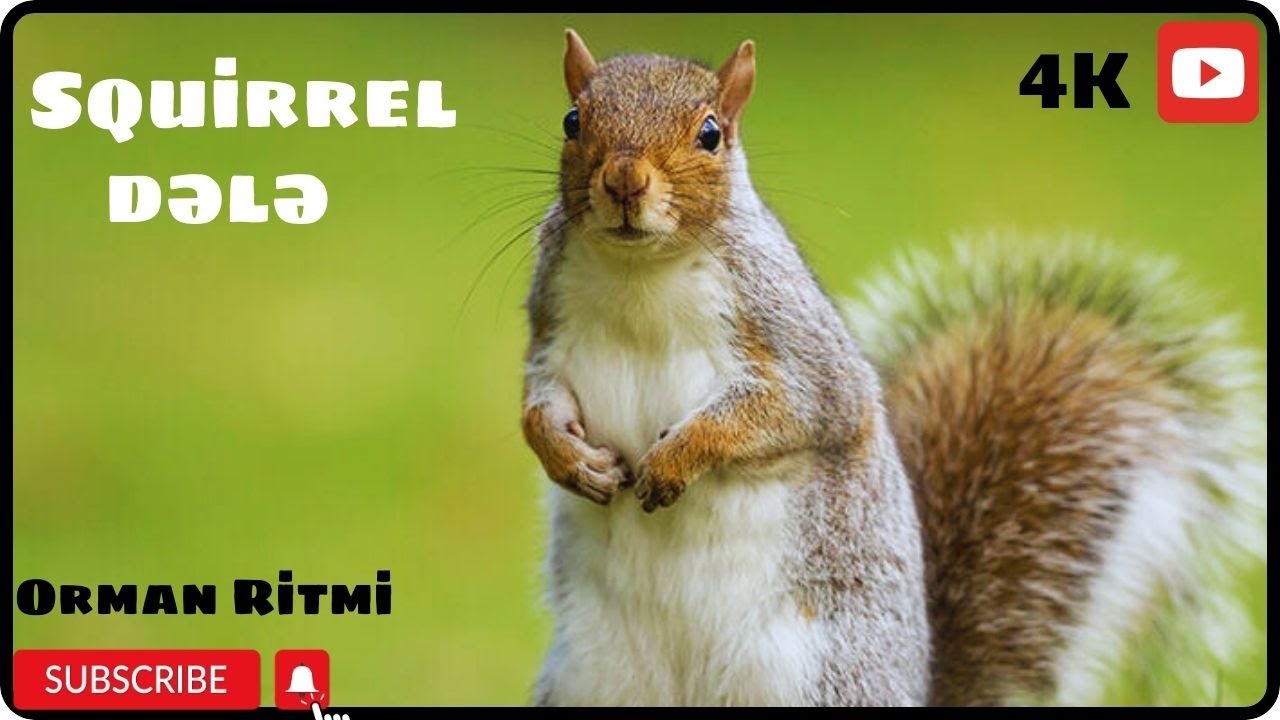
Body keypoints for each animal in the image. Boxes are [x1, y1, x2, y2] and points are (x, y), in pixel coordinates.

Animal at [519, 30, 1264, 707]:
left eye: (710, 134)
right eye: (572, 120)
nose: (624, 180)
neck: (640, 273)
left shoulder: (796, 346)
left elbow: (791, 412)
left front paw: (678, 460)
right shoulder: (550, 334)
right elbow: (537, 407)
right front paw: (568, 459)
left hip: (816, 682)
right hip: (591, 679)